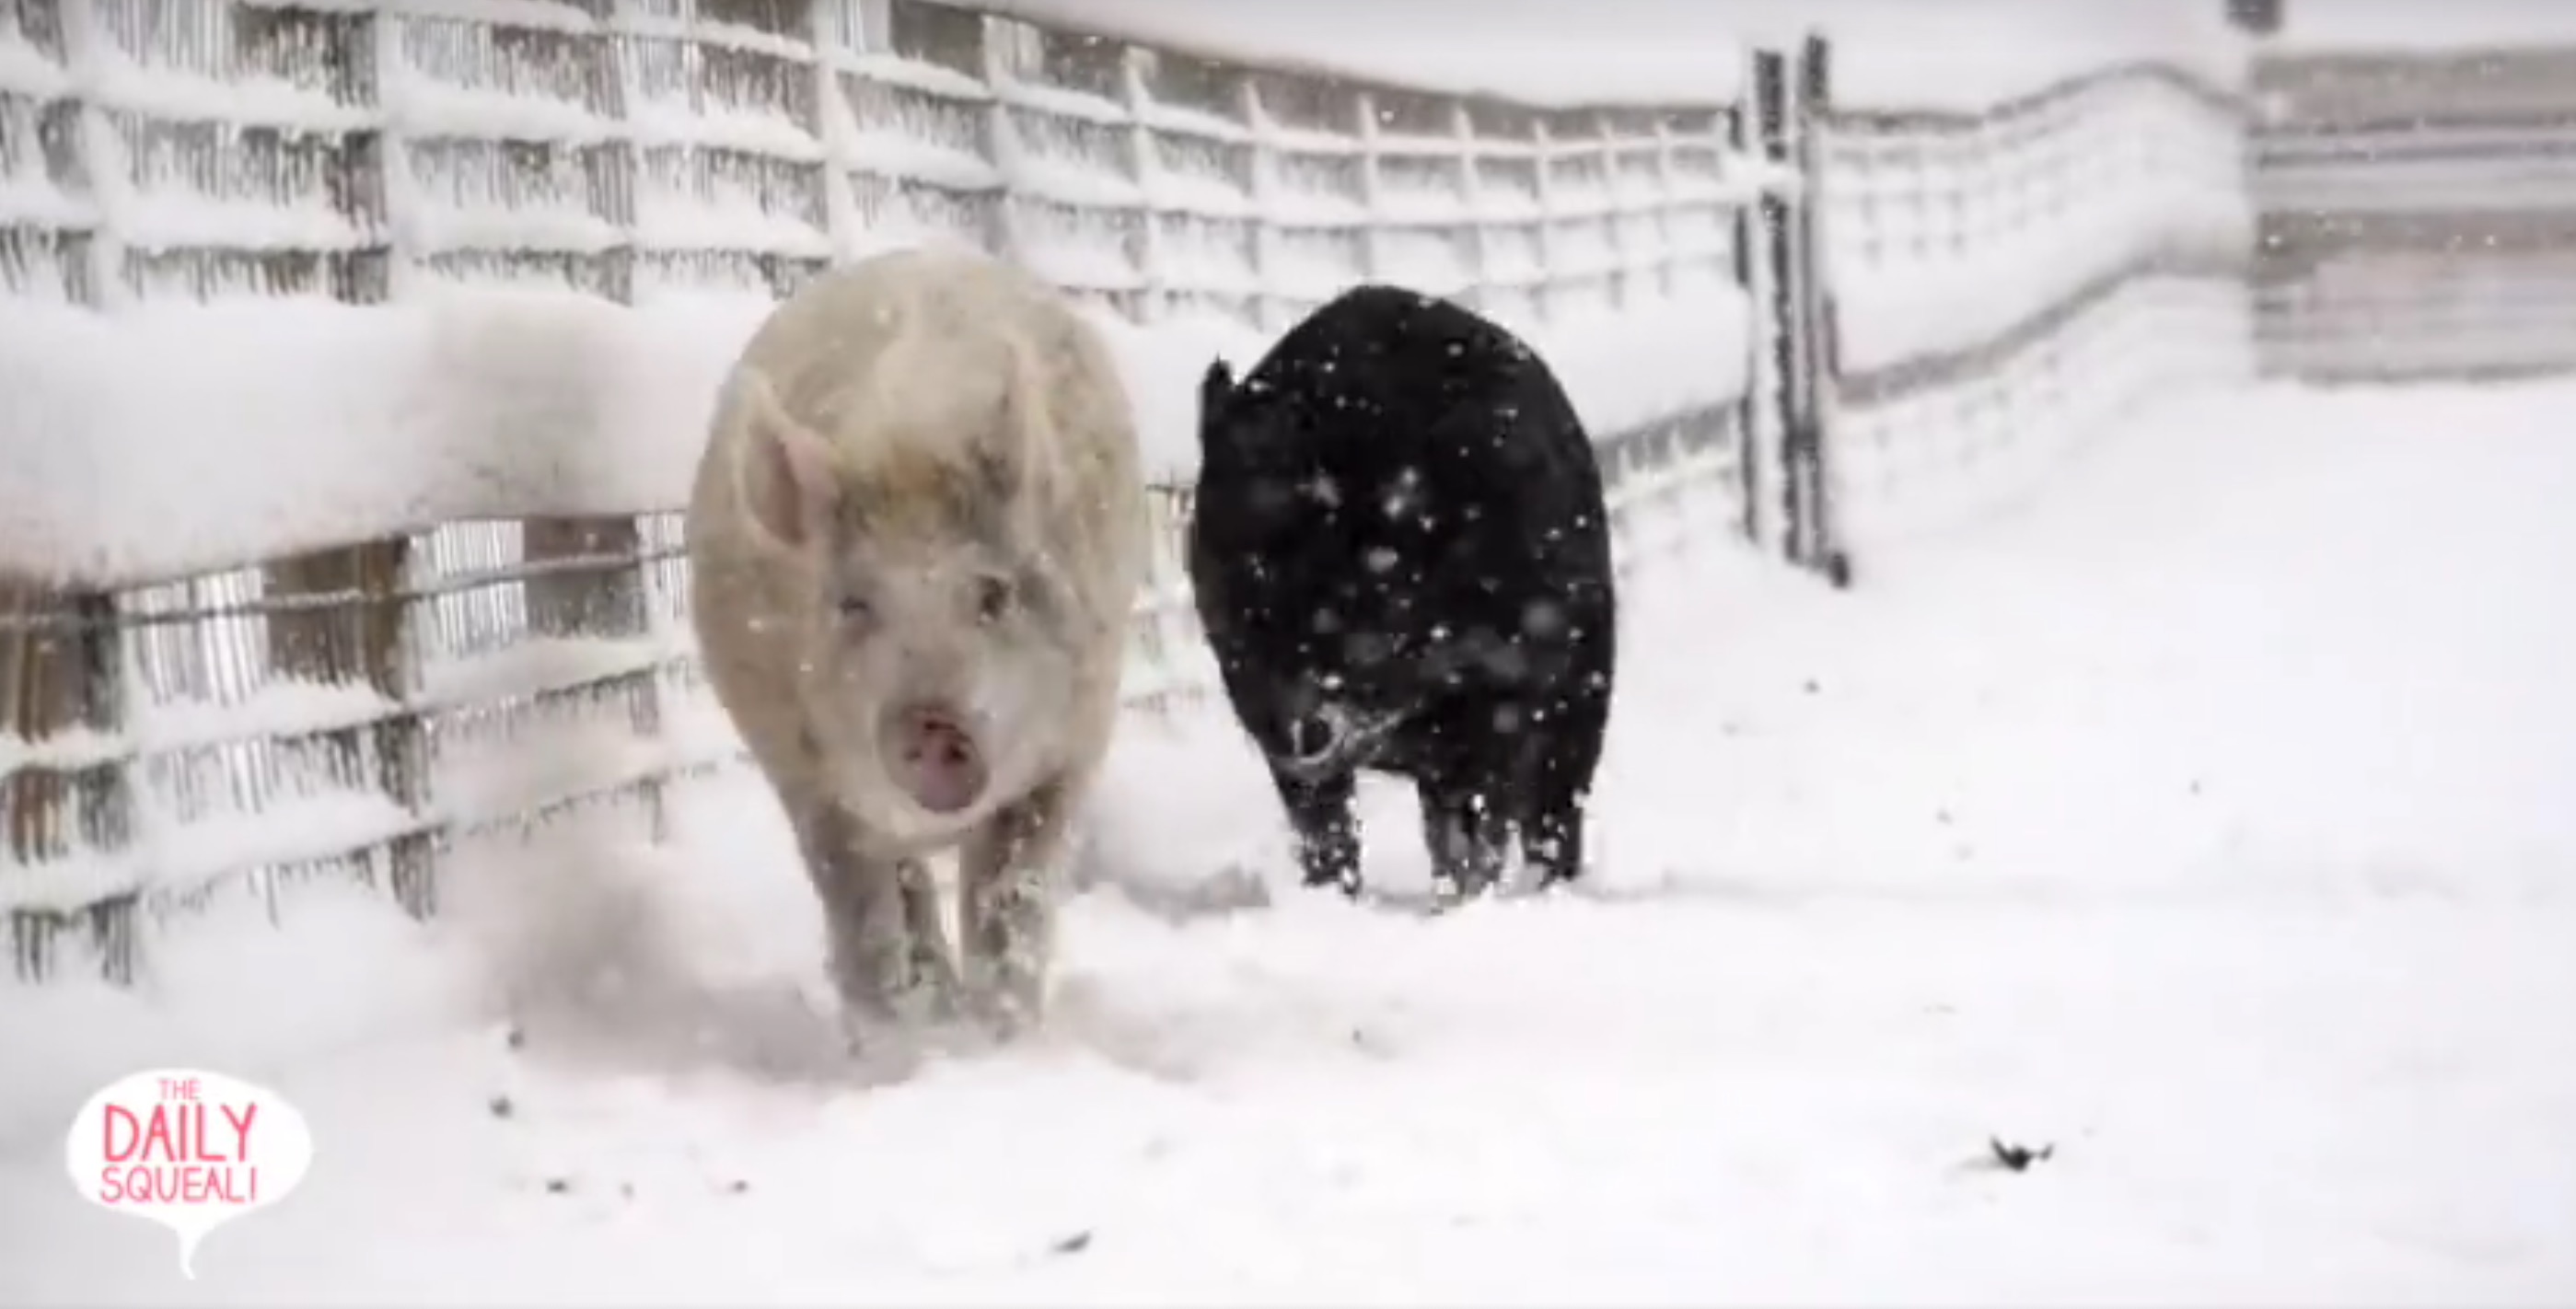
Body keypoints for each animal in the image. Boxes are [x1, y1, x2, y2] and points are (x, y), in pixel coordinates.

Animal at [685, 247, 1149, 1045]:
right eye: (854, 603)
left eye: (993, 594)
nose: (931, 723)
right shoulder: (805, 778)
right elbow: (864, 913)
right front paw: (901, 1042)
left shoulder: (1071, 747)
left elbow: (1010, 900)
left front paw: (1001, 1039)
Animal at [1188, 284, 1618, 904]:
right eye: (1237, 575)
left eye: (1359, 587)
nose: (1303, 728)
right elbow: (1329, 832)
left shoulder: (1504, 703)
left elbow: (1485, 831)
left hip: (1584, 694)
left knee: (1553, 813)